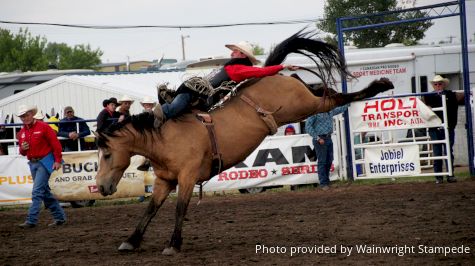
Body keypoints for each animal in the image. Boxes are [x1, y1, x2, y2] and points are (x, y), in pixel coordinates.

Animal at [94, 29, 394, 256]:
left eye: (107, 154)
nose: (101, 187)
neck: (165, 138)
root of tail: (271, 77)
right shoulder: (164, 180)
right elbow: (151, 208)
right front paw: (130, 241)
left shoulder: (188, 176)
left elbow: (180, 208)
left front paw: (173, 245)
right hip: (303, 101)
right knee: (318, 88)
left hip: (303, 105)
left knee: (334, 98)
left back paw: (380, 85)